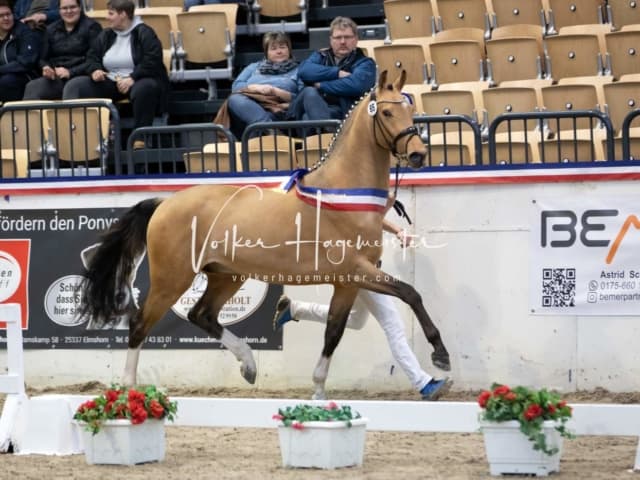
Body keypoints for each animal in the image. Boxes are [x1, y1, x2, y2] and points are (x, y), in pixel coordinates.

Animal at [79, 71, 450, 400]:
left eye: (410, 112)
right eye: (386, 112)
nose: (418, 154)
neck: (343, 193)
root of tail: (164, 203)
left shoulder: (347, 282)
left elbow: (334, 330)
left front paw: (318, 390)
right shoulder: (355, 271)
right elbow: (411, 294)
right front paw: (440, 354)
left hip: (226, 276)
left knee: (202, 314)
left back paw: (249, 365)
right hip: (173, 278)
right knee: (140, 323)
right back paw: (128, 388)